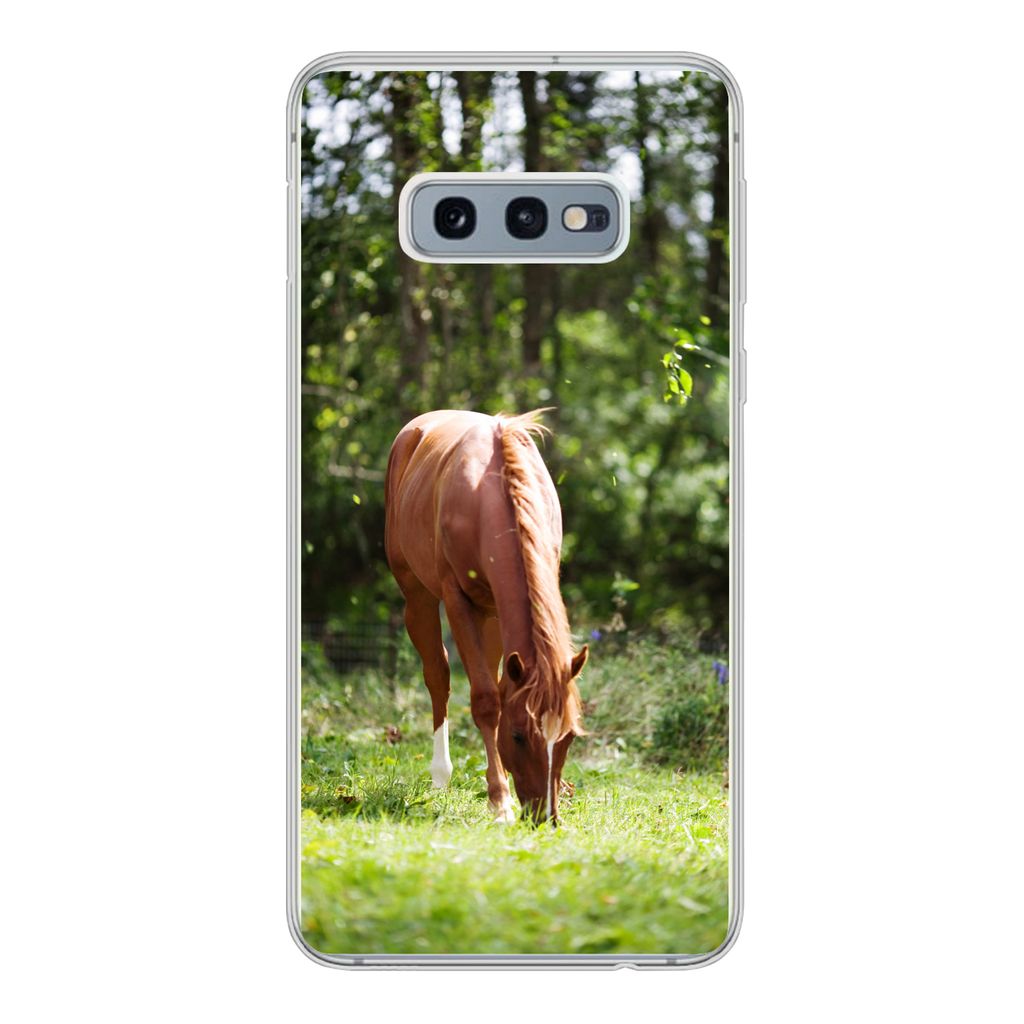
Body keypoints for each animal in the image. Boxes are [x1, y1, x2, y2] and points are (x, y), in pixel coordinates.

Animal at [384, 409, 588, 824]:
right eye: (519, 736)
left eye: (569, 736)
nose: (545, 817)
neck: (490, 495)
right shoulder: (458, 601)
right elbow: (485, 700)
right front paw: (500, 802)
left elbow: (498, 690)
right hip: (418, 596)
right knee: (438, 675)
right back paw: (441, 775)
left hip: (493, 614)